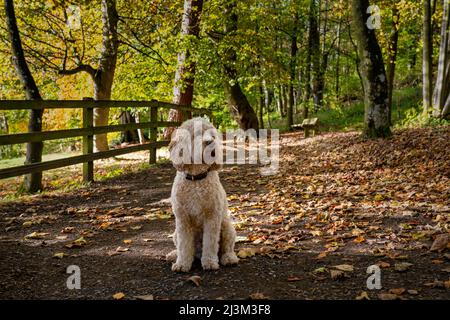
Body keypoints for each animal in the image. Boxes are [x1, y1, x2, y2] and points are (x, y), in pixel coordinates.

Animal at [166, 117, 239, 272]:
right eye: (197, 133)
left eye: (213, 135)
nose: (210, 142)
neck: (196, 180)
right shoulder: (182, 219)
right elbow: (184, 245)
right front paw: (182, 264)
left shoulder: (212, 217)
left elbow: (210, 242)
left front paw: (210, 262)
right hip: (175, 233)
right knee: (183, 247)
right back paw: (174, 254)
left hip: (227, 226)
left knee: (227, 247)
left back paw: (229, 258)